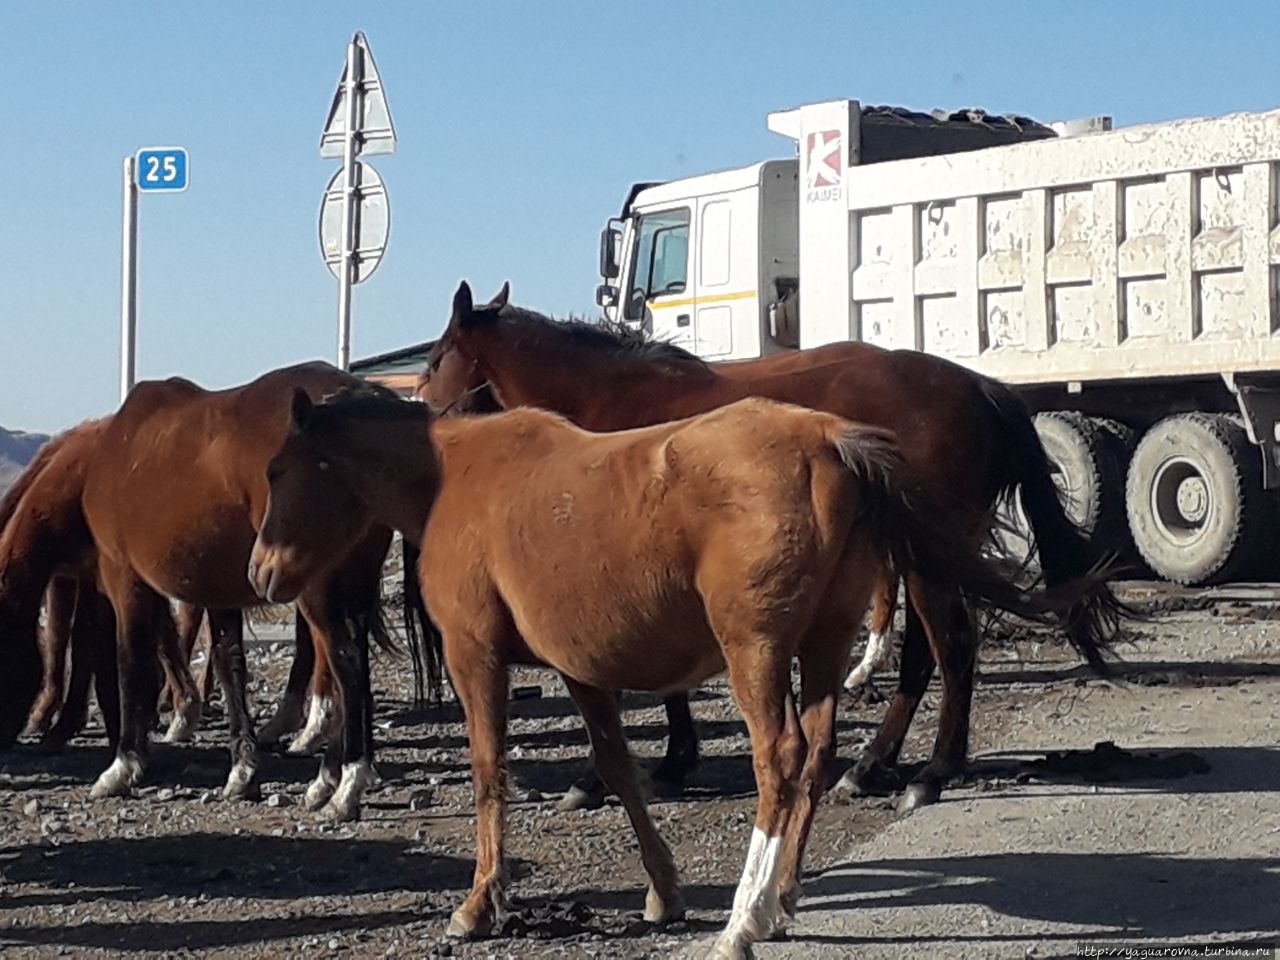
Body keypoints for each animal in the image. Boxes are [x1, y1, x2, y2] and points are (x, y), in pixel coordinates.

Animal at [249, 386, 1111, 957]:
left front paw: (477, 905)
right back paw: (783, 895)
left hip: (754, 650)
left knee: (780, 761)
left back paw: (745, 918)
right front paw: (662, 892)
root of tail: (829, 441)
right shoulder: (582, 668)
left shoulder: (475, 654)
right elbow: (618, 768)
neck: (454, 476)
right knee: (817, 754)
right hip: (822, 643)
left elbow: (492, 773)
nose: (259, 572)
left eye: (279, 471)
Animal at [417, 284, 1121, 814]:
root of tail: (981, 389)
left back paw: (930, 773)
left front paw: (604, 777)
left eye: (436, 357)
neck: (607, 402)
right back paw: (874, 765)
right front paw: (673, 761)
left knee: (949, 648)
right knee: (927, 655)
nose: (423, 420)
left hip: (927, 562)